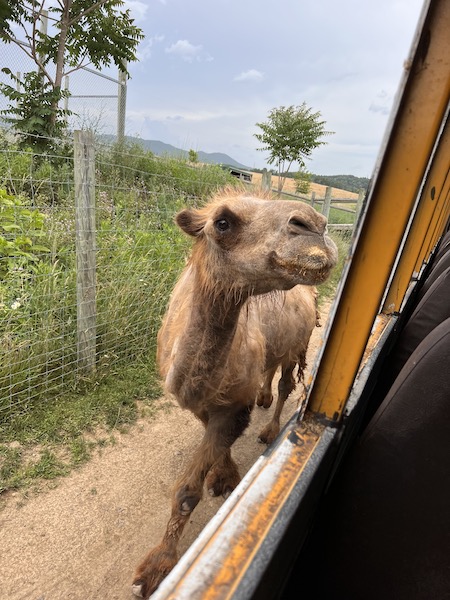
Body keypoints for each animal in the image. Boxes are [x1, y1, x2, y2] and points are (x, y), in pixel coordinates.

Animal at [133, 186, 338, 596]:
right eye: (222, 222)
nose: (316, 226)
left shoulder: (232, 403)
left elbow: (187, 491)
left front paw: (156, 568)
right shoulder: (201, 401)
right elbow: (213, 440)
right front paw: (223, 475)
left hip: (299, 342)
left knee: (287, 381)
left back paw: (271, 429)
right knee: (270, 369)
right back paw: (264, 397)